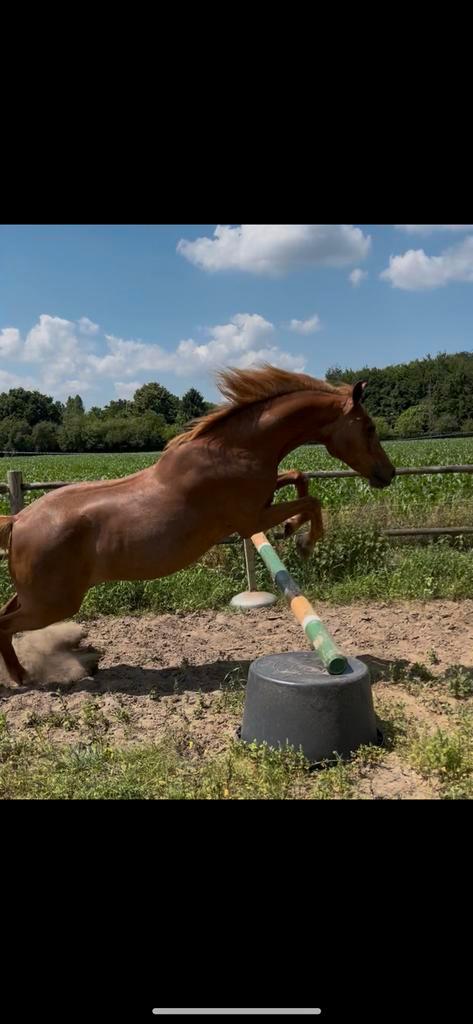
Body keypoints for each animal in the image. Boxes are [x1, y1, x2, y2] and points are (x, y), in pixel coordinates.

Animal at [0, 365, 395, 685]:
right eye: (370, 427)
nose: (388, 474)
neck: (235, 450)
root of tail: (19, 520)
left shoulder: (263, 502)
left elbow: (300, 477)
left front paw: (291, 530)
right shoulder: (251, 519)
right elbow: (312, 501)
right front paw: (304, 542)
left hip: (36, 596)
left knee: (5, 613)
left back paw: (30, 672)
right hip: (53, 603)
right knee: (4, 624)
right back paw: (23, 679)